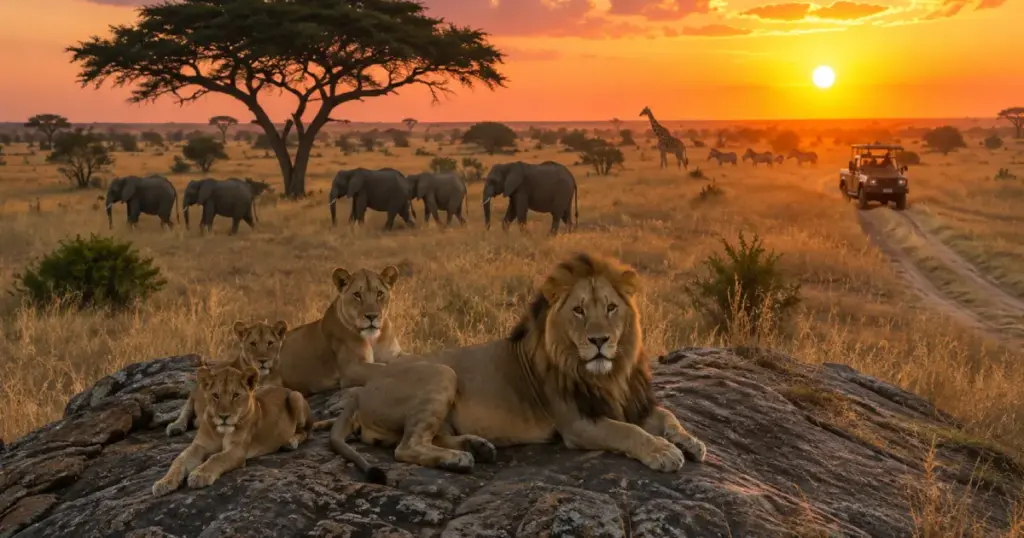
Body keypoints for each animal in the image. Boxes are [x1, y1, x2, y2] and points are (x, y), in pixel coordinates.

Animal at [151, 364, 313, 497]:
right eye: (215, 395)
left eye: (235, 395)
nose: (224, 416)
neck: (221, 431)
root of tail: (283, 387)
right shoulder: (199, 446)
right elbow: (179, 460)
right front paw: (163, 482)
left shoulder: (237, 450)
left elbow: (216, 457)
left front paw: (199, 475)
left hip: (296, 397)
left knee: (306, 432)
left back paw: (289, 442)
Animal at [276, 266, 404, 395]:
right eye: (357, 294)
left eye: (379, 293)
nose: (372, 316)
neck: (373, 339)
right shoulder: (351, 369)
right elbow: (384, 367)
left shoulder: (394, 354)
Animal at [324, 253, 707, 482]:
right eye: (579, 310)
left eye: (611, 308)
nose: (599, 341)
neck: (609, 373)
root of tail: (360, 395)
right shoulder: (578, 423)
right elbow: (629, 432)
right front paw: (664, 452)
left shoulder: (630, 403)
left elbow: (667, 416)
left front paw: (691, 442)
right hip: (441, 374)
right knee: (406, 446)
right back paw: (457, 460)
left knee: (425, 436)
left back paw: (477, 447)